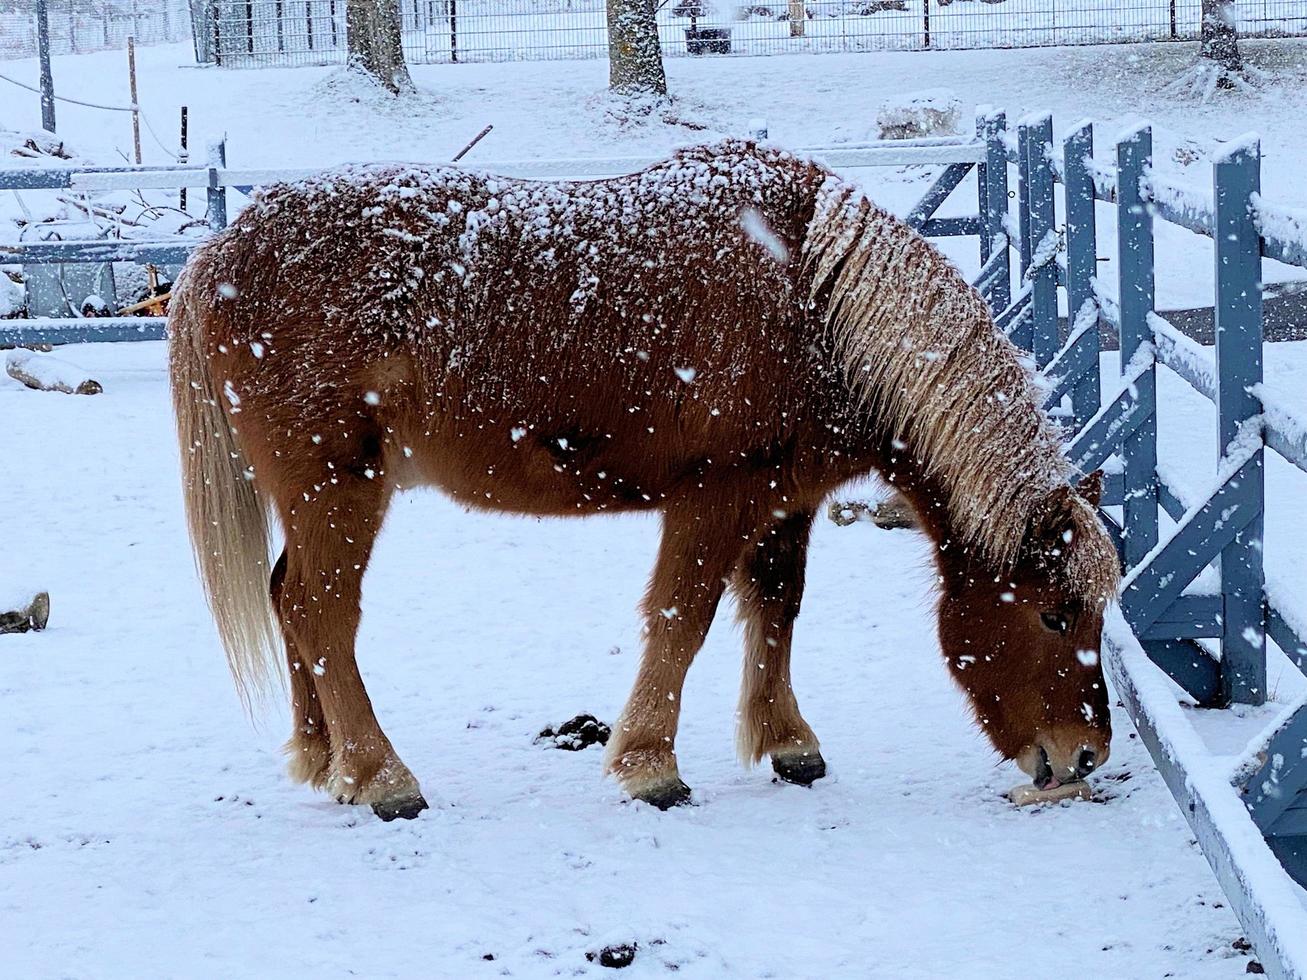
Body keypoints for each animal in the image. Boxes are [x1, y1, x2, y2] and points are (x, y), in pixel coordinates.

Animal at [168, 139, 1118, 820]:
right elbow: (681, 620)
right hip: (338, 489)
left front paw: (787, 743)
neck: (811, 300)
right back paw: (379, 776)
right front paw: (649, 767)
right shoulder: (713, 498)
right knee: (319, 613)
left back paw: (323, 760)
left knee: (289, 600)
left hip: (318, 499)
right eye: (1053, 612)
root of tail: (218, 255)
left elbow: (776, 608)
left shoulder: (785, 503)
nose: (1084, 755)